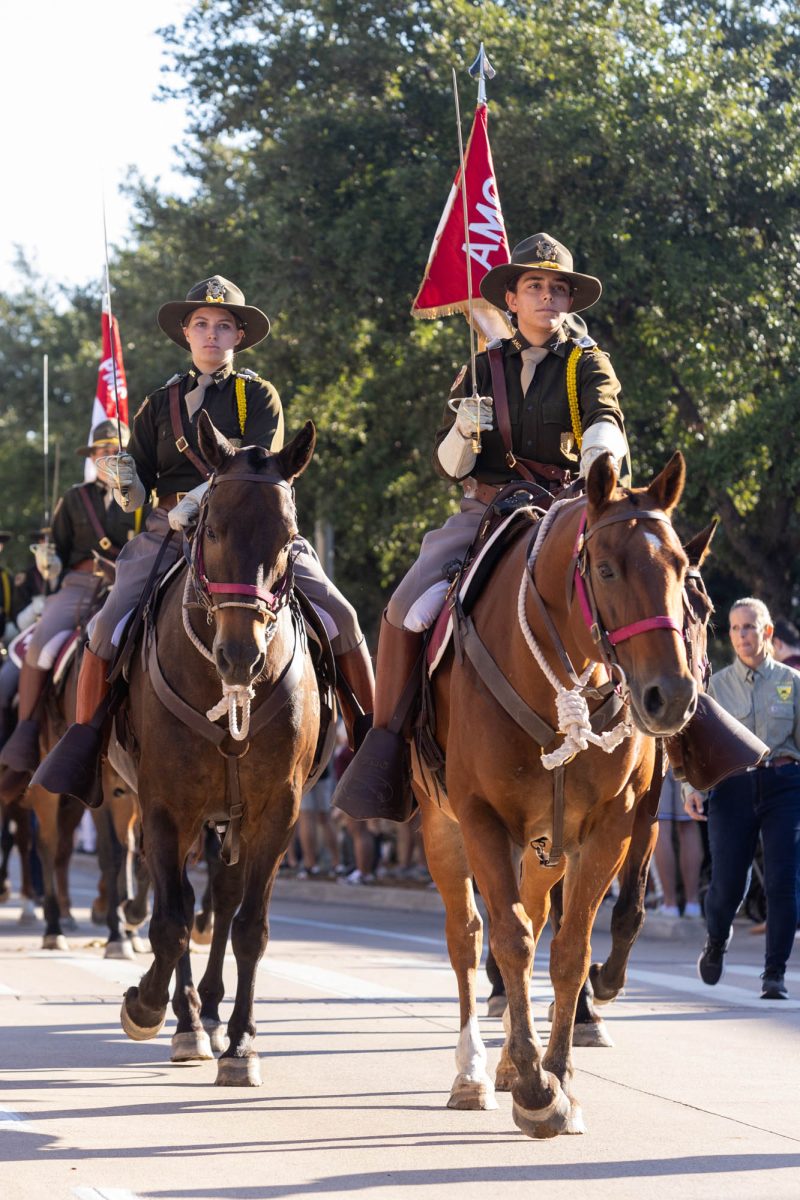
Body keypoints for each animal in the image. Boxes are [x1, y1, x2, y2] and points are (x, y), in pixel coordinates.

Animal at [112, 415, 319, 1089]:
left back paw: (207, 1011)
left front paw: (243, 1043)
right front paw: (149, 1006)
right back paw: (185, 1019)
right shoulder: (163, 807)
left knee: (221, 902)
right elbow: (172, 922)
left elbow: (249, 925)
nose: (240, 656)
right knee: (174, 902)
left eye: (289, 537)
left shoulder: (277, 811)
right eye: (211, 528)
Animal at [412, 448, 700, 1132]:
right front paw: (535, 1089)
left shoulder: (610, 829)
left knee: (536, 912)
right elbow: (509, 939)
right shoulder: (481, 819)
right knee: (467, 936)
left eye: (682, 567)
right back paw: (473, 1072)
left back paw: (512, 1065)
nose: (672, 696)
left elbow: (569, 948)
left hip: (548, 847)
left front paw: (559, 1076)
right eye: (606, 568)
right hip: (443, 828)